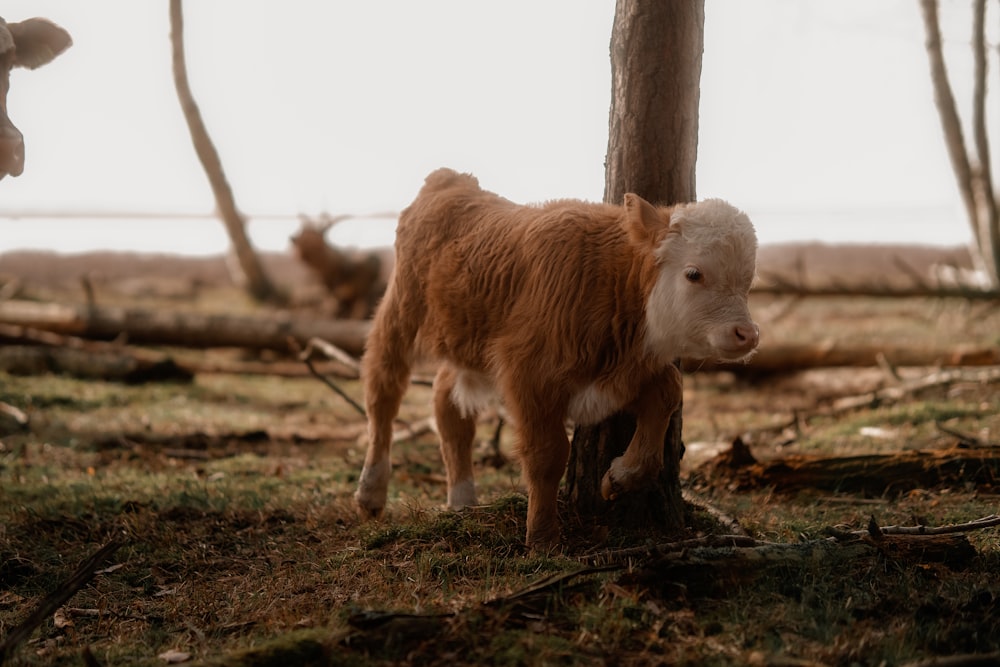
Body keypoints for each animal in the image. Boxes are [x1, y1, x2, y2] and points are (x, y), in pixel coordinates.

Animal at [356, 170, 752, 552]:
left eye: (748, 281)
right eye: (694, 273)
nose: (747, 333)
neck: (613, 277)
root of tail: (450, 180)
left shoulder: (622, 372)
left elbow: (669, 389)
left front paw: (619, 478)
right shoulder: (530, 374)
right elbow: (547, 454)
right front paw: (543, 538)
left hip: (465, 345)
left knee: (448, 407)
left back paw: (462, 501)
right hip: (399, 312)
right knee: (382, 391)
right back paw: (371, 492)